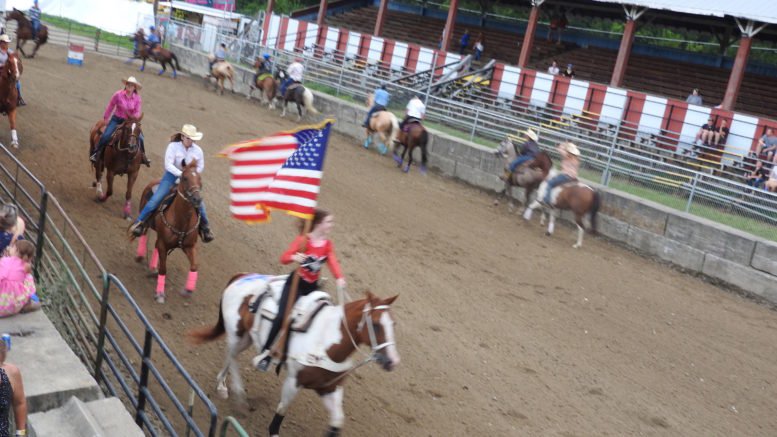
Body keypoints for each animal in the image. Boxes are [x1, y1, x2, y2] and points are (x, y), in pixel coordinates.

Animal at [135, 161, 205, 304]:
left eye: (199, 178)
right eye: (185, 178)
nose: (197, 199)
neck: (182, 220)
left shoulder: (189, 246)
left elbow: (194, 266)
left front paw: (188, 289)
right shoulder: (163, 244)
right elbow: (163, 269)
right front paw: (160, 294)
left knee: (155, 246)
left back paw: (152, 267)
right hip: (145, 219)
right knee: (143, 233)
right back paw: (140, 255)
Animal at [186, 270, 398, 434]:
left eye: (393, 323)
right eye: (376, 324)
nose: (393, 362)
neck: (325, 340)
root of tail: (241, 276)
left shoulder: (329, 388)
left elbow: (337, 421)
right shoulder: (293, 382)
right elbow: (280, 413)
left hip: (246, 337)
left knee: (231, 356)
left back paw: (222, 385)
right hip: (236, 333)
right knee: (232, 356)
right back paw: (238, 395)